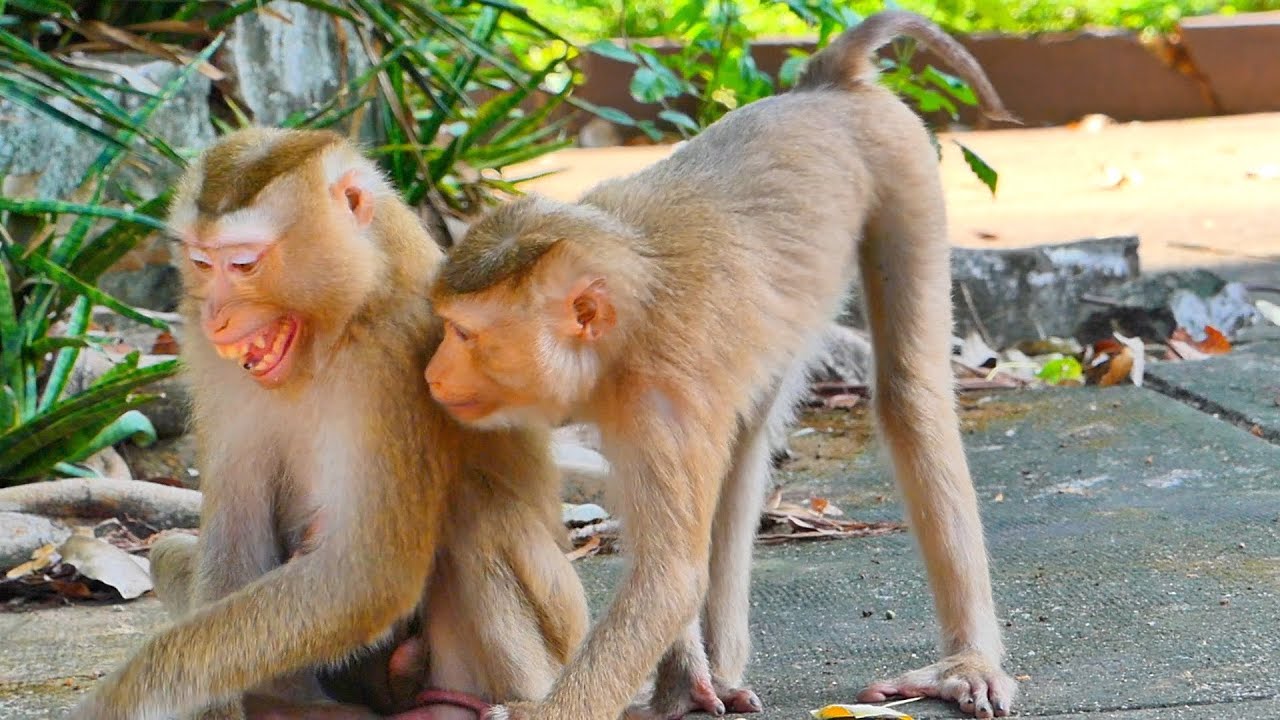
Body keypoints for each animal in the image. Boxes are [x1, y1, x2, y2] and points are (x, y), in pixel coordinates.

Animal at [70, 127, 587, 720]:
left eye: (243, 265)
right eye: (202, 263)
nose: (216, 316)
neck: (341, 320)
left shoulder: (396, 352)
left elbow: (367, 577)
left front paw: (130, 692)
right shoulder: (211, 360)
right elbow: (234, 548)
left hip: (561, 631)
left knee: (476, 514)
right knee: (170, 551)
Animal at [423, 11, 1018, 720]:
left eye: (464, 333)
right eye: (447, 327)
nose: (432, 374)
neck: (628, 320)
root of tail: (823, 87)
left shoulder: (659, 404)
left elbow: (669, 579)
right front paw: (682, 678)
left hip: (902, 162)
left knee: (909, 394)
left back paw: (968, 663)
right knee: (746, 441)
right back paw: (716, 675)